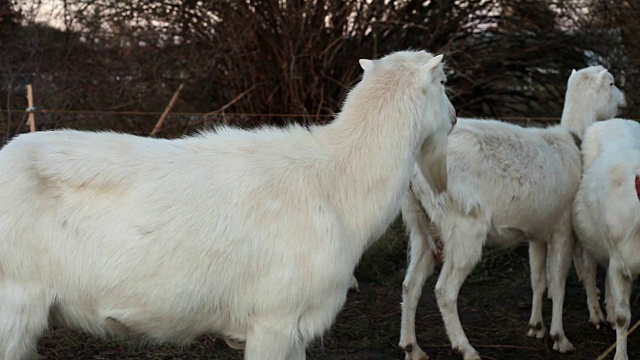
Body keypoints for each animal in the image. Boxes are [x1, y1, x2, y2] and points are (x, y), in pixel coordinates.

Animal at [0, 50, 456, 360]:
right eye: (444, 83)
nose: (453, 120)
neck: (339, 182)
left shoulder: (295, 327)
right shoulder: (272, 319)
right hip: (12, 306)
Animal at [398, 66, 628, 360]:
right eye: (611, 83)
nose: (623, 101)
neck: (572, 141)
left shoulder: (537, 234)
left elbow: (538, 280)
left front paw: (536, 327)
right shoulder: (562, 228)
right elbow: (559, 283)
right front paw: (560, 337)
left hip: (422, 226)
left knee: (410, 284)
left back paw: (412, 347)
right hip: (462, 226)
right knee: (445, 291)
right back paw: (466, 348)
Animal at [572, 119, 640, 360]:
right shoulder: (620, 263)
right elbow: (623, 318)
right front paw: (620, 356)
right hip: (588, 237)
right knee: (589, 270)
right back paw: (597, 315)